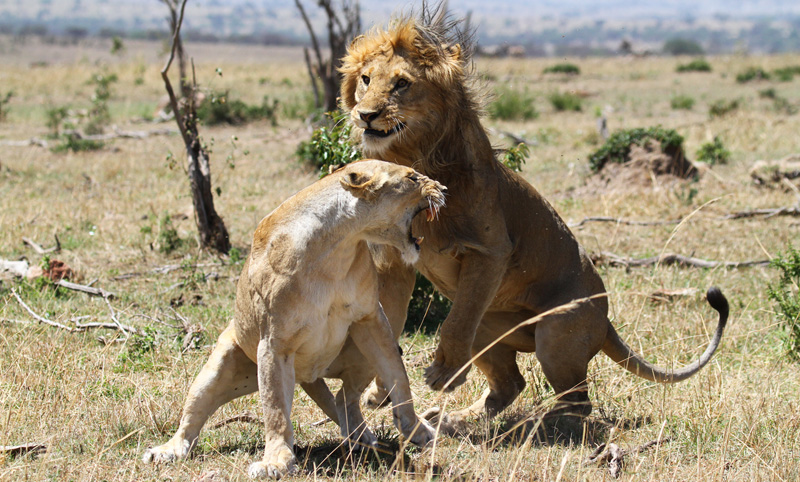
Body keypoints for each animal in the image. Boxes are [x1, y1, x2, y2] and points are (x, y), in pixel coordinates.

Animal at [143, 161, 444, 478]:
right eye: (412, 177)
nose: (443, 188)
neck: (337, 246)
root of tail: (309, 376)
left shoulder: (371, 320)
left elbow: (398, 376)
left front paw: (415, 429)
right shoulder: (274, 344)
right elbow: (276, 410)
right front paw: (276, 461)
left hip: (365, 346)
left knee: (344, 398)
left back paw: (361, 439)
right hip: (219, 368)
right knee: (192, 417)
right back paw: (167, 450)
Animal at [334, 8, 728, 430]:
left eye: (402, 84)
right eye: (366, 79)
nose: (366, 115)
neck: (412, 157)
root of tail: (606, 323)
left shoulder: (490, 251)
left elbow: (455, 324)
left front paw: (444, 374)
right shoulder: (393, 263)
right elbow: (390, 321)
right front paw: (381, 391)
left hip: (555, 333)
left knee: (577, 400)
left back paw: (540, 422)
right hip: (488, 325)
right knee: (511, 383)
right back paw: (454, 420)